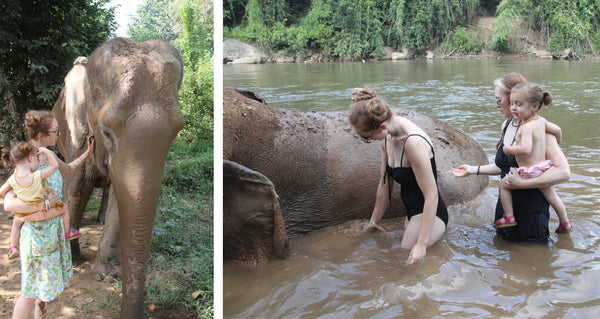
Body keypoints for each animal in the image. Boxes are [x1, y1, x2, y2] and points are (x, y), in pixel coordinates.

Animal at [52, 38, 184, 318]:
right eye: (106, 131)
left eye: (178, 131)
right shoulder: (76, 130)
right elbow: (77, 185)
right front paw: (72, 261)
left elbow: (118, 193)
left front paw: (106, 276)